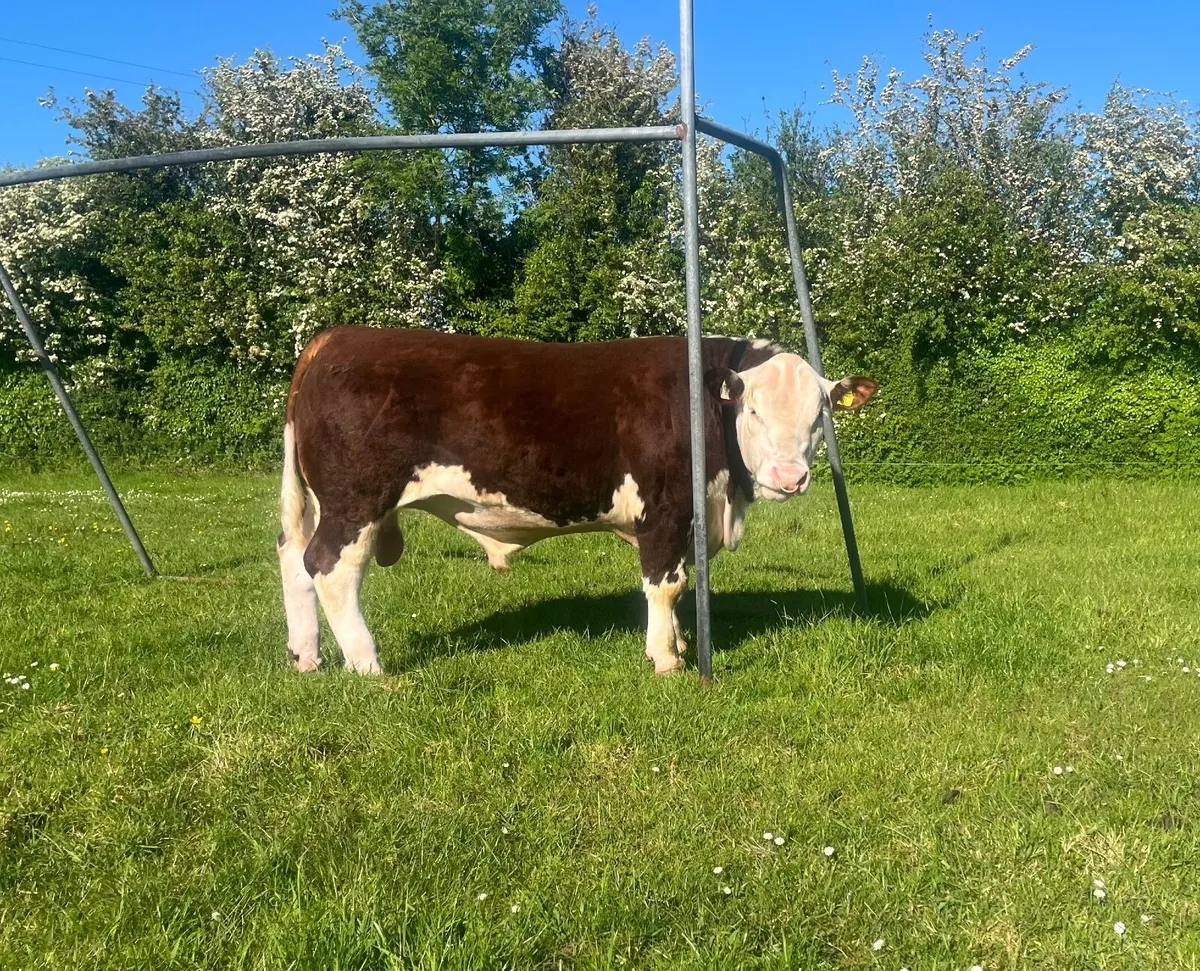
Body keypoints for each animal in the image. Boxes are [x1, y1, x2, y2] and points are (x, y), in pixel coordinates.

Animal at [277, 327, 878, 675]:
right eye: (752, 410)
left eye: (819, 415)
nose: (789, 477)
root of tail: (336, 336)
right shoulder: (665, 509)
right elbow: (665, 585)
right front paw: (667, 661)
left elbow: (679, 584)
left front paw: (679, 645)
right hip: (357, 498)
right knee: (329, 568)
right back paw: (368, 666)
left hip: (325, 501)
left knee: (294, 559)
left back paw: (307, 655)